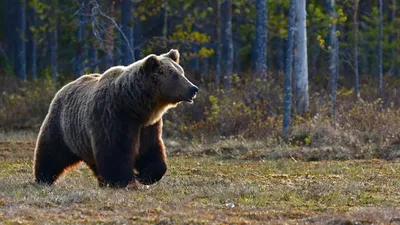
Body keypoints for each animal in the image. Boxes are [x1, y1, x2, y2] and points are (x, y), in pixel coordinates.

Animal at [32, 49, 198, 188]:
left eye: (182, 72)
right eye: (175, 75)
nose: (193, 88)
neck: (135, 106)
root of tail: (64, 87)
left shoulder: (148, 126)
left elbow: (151, 150)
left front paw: (145, 176)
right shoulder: (113, 117)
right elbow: (115, 151)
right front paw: (123, 181)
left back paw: (101, 181)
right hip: (63, 127)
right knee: (52, 152)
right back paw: (43, 178)